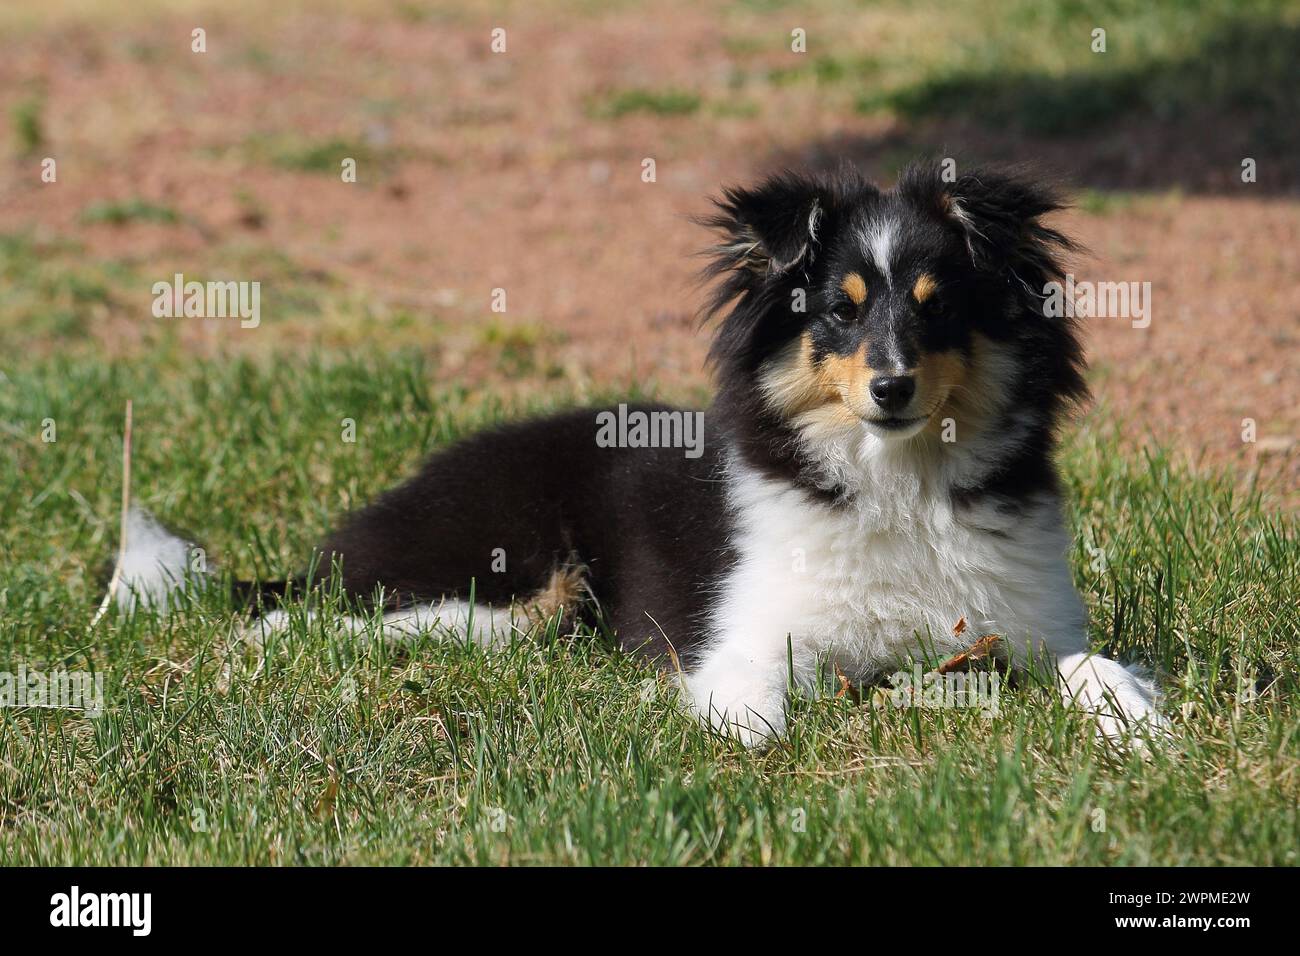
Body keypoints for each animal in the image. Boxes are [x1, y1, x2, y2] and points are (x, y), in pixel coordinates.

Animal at [114, 160, 1170, 749]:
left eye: (937, 305)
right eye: (838, 311)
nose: (892, 389)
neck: (896, 484)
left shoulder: (1024, 631)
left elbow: (1092, 665)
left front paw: (1140, 729)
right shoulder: (753, 627)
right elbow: (753, 688)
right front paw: (747, 737)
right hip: (495, 591)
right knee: (312, 616)